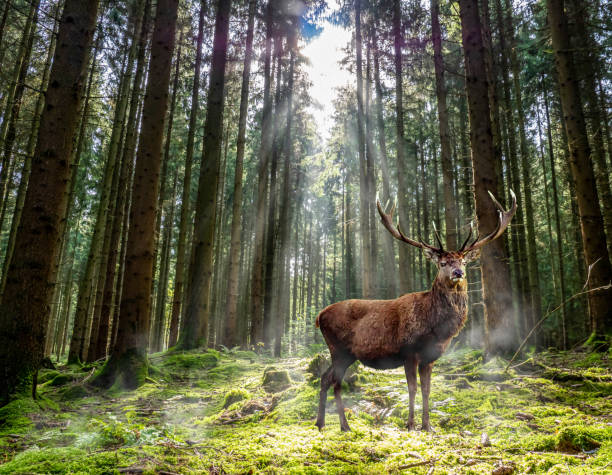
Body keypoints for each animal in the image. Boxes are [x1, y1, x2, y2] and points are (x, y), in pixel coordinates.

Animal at [314, 190, 512, 432]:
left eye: (463, 261)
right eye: (443, 263)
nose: (458, 273)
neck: (436, 329)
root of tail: (319, 316)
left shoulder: (430, 357)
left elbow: (427, 390)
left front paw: (427, 426)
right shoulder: (408, 351)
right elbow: (412, 388)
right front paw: (410, 424)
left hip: (346, 354)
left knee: (325, 378)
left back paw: (320, 423)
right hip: (339, 349)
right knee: (336, 382)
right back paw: (344, 426)